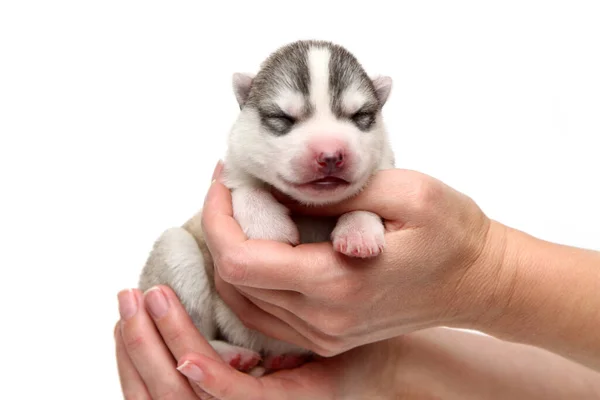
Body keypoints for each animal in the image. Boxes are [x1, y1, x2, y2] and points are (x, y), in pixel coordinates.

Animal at [138, 39, 396, 376]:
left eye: (359, 115)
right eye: (282, 118)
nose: (330, 154)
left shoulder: (385, 167)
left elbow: (369, 195)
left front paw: (359, 231)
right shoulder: (233, 167)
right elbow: (246, 185)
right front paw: (268, 226)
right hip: (175, 258)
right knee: (193, 334)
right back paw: (228, 355)